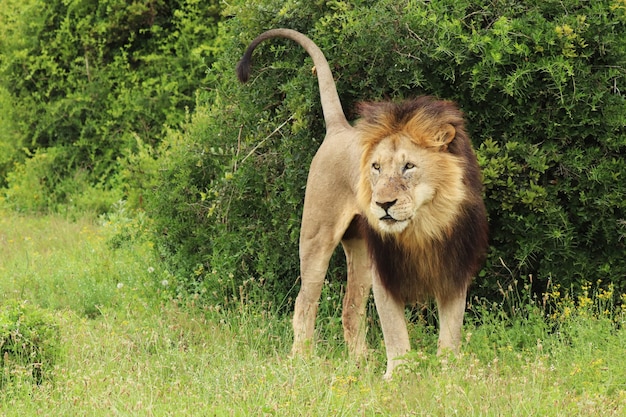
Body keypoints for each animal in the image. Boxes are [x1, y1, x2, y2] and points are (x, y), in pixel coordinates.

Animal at [236, 27, 486, 378]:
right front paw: (398, 376)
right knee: (305, 301)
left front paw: (449, 374)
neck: (424, 223)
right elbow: (395, 331)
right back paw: (302, 360)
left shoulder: (454, 269)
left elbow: (451, 332)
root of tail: (338, 129)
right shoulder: (386, 271)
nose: (382, 204)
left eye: (409, 166)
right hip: (316, 237)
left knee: (350, 307)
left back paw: (360, 362)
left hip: (360, 249)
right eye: (376, 167)